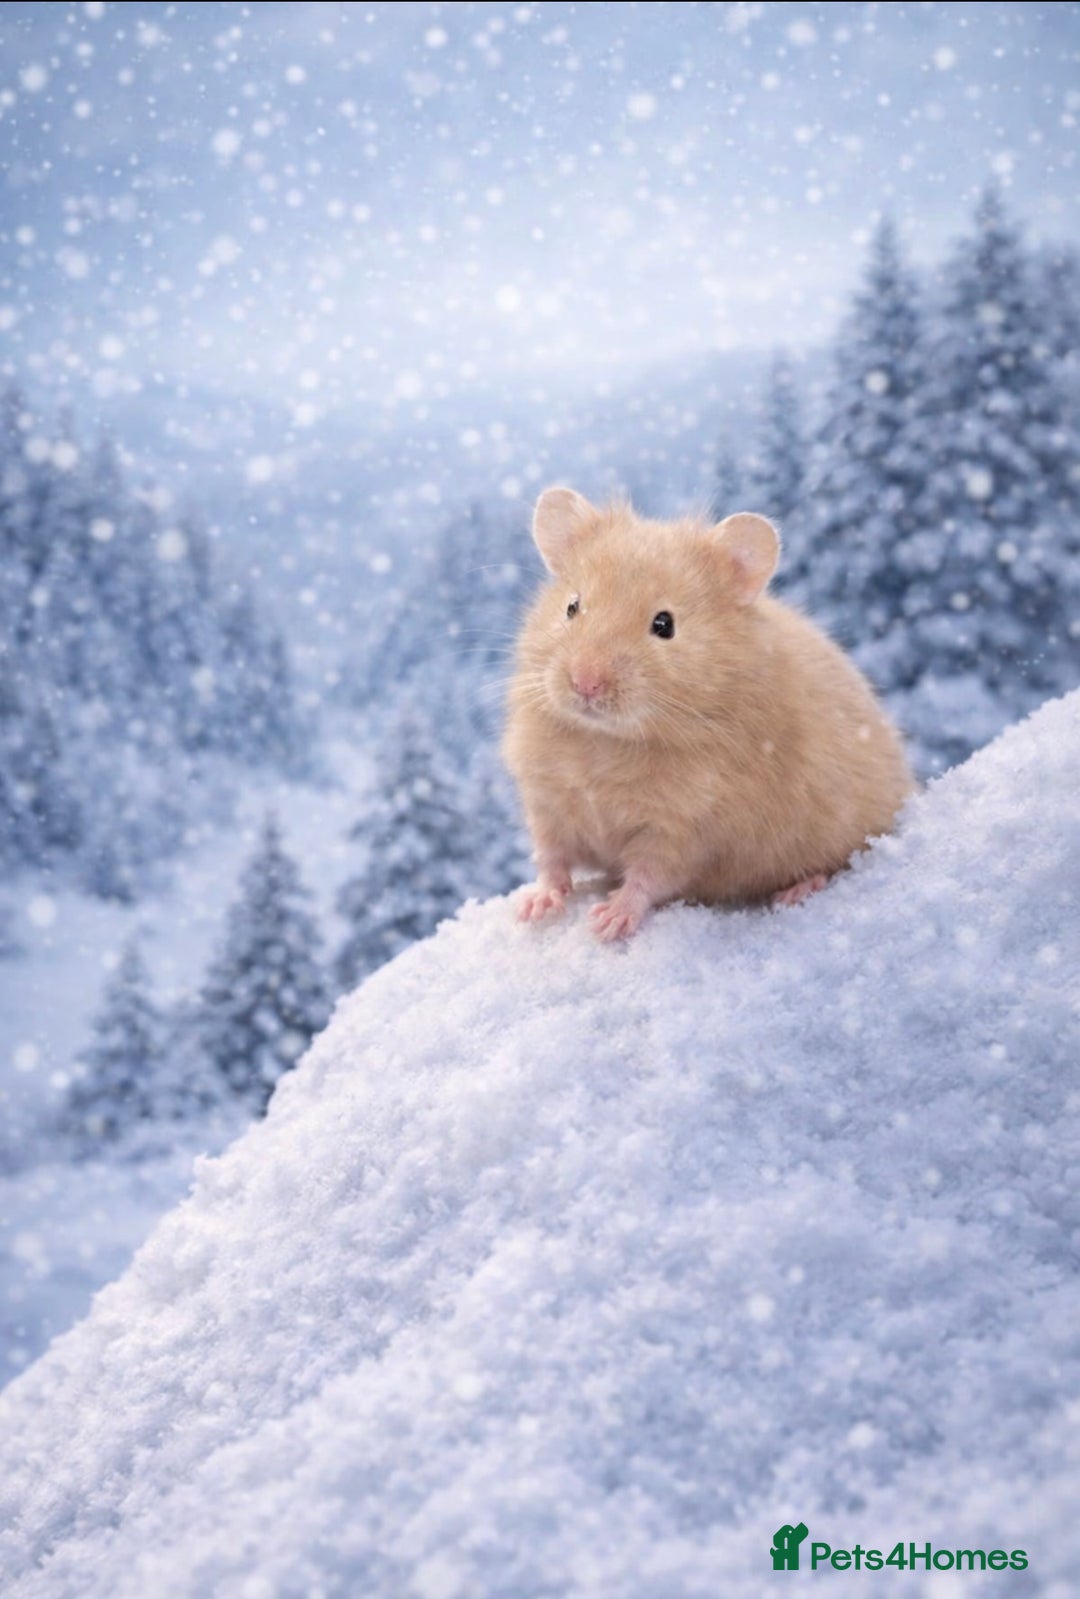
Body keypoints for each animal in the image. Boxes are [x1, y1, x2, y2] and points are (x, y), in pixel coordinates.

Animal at [503, 487, 914, 941]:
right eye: (572, 607)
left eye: (664, 624)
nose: (585, 683)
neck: (606, 741)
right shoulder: (548, 804)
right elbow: (550, 859)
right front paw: (532, 908)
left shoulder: (686, 827)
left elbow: (649, 877)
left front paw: (607, 923)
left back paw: (797, 891)